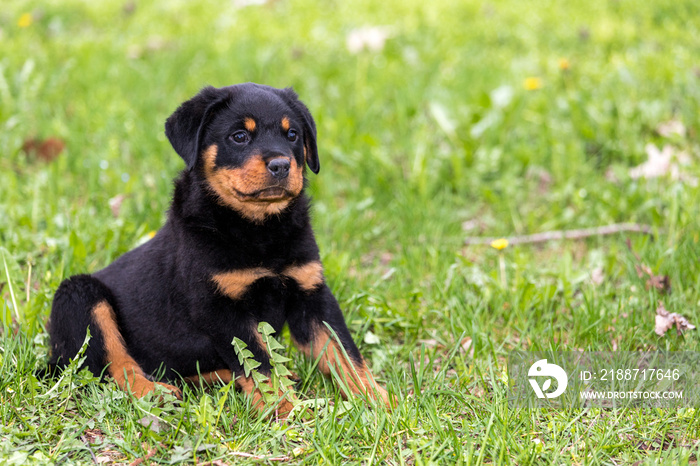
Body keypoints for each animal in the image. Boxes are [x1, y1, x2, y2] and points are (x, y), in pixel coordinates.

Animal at [46, 83, 392, 416]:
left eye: (292, 134)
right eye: (239, 136)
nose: (281, 164)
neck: (260, 229)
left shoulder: (312, 294)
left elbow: (344, 351)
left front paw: (377, 400)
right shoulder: (220, 308)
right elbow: (259, 363)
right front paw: (284, 408)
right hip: (79, 297)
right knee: (115, 367)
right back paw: (154, 392)